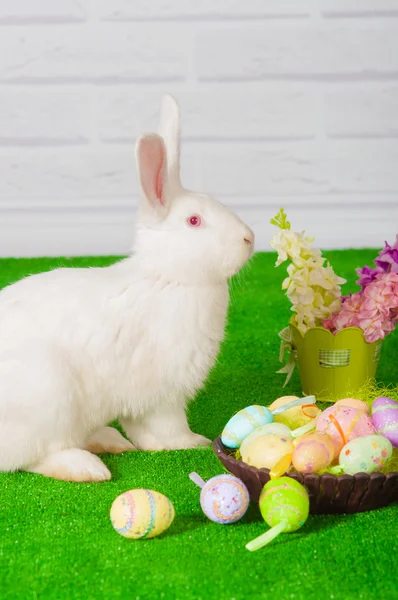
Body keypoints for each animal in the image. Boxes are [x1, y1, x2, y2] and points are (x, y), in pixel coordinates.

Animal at [0, 97, 255, 482]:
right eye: (194, 221)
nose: (249, 239)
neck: (167, 276)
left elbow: (145, 430)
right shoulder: (164, 391)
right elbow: (168, 426)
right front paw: (192, 442)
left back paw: (108, 440)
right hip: (48, 396)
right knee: (32, 457)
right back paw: (88, 467)